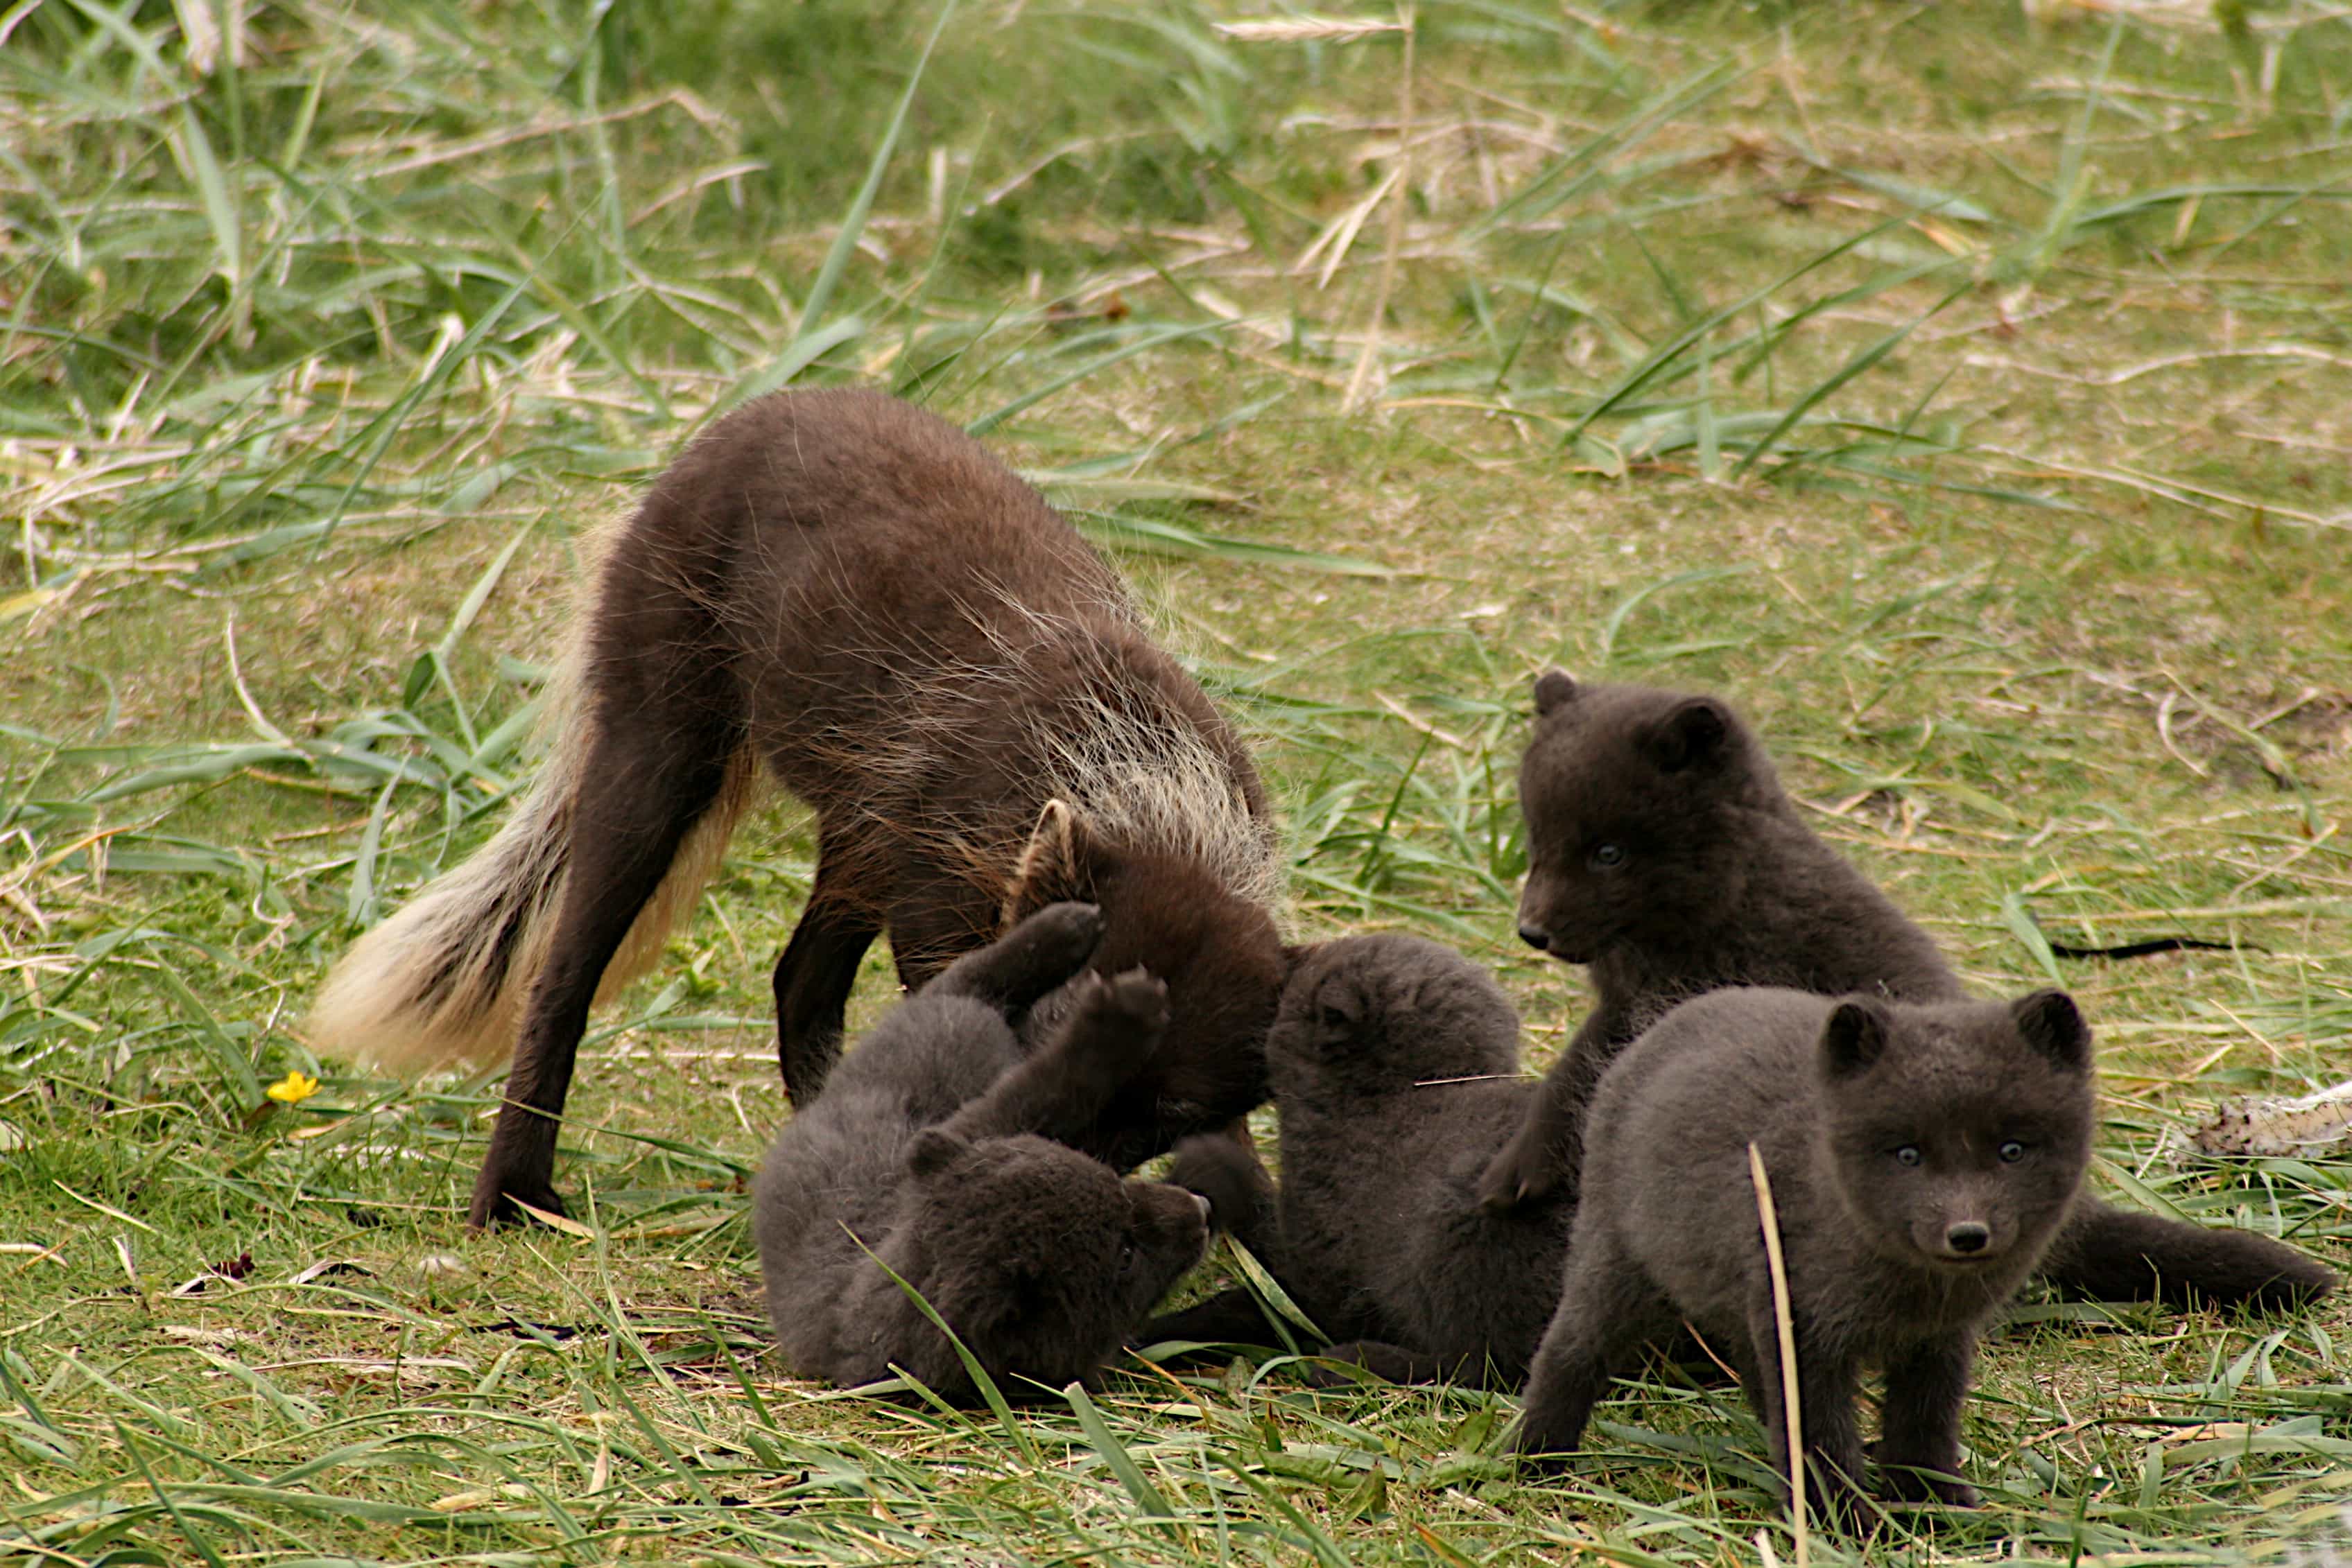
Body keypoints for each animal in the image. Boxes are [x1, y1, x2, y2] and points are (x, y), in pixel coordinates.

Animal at [308, 389, 1290, 1227]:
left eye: (1167, 1110)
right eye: (1055, 1038)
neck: (1136, 782)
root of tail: (766, 406)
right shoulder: (937, 906)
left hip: (860, 830)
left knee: (801, 978)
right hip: (661, 751)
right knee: (564, 975)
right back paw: (514, 1192)